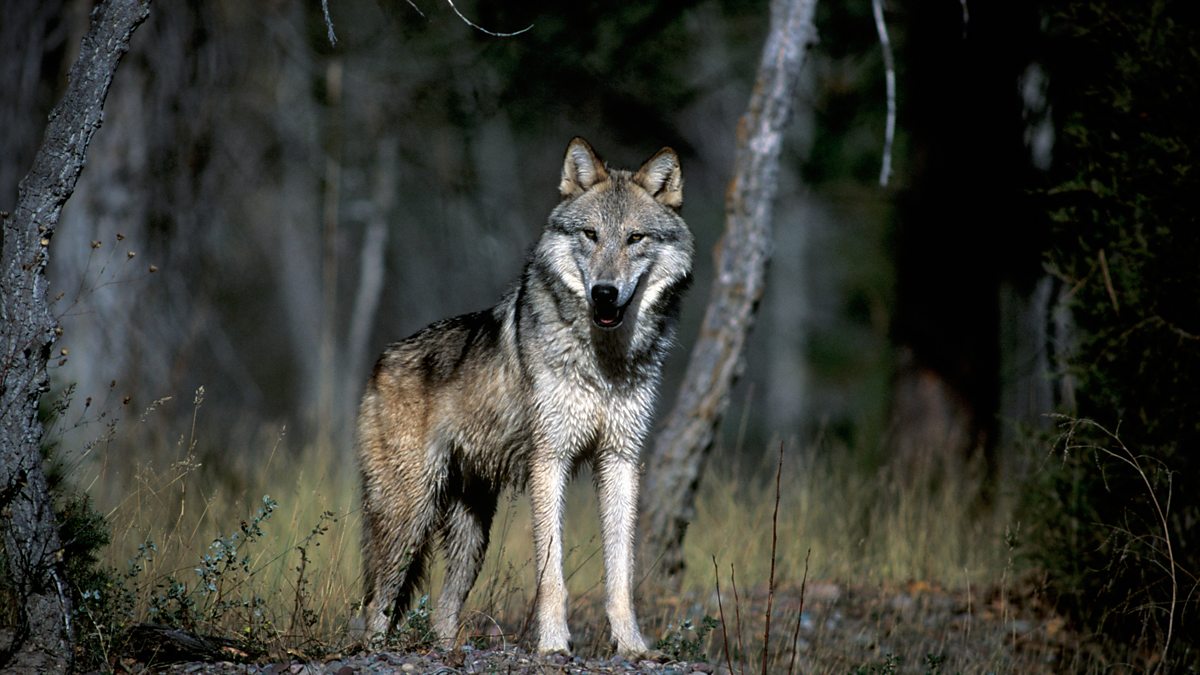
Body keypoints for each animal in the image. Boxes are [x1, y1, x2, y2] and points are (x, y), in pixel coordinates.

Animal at [352, 133, 696, 653]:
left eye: (634, 239)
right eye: (591, 235)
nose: (604, 292)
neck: (605, 361)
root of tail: (380, 361)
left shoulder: (620, 459)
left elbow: (621, 572)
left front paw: (632, 645)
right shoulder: (550, 459)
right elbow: (551, 573)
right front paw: (553, 644)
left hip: (470, 537)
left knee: (442, 611)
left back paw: (447, 649)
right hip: (410, 514)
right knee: (377, 602)